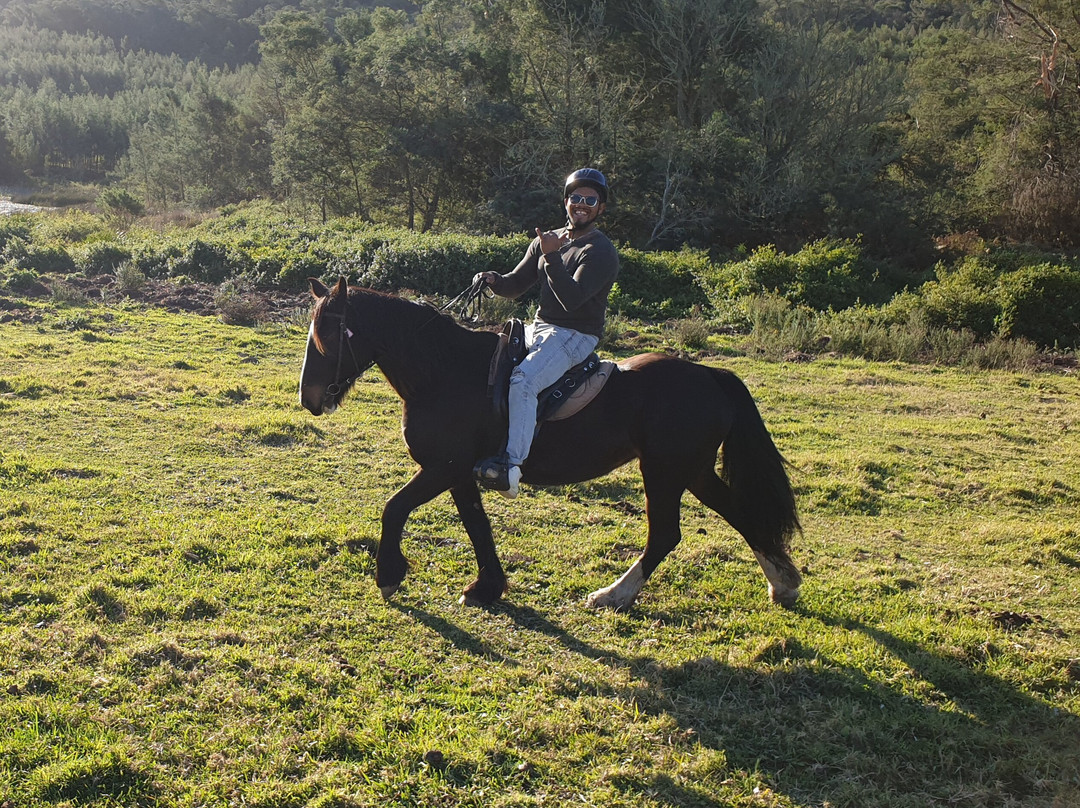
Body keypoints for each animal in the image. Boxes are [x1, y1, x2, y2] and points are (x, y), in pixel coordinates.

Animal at [298, 277, 802, 610]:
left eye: (327, 338)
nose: (309, 398)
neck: (445, 372)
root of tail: (711, 376)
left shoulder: (443, 467)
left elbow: (394, 508)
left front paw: (388, 575)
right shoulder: (459, 472)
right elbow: (476, 525)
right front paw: (487, 587)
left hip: (664, 472)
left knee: (665, 534)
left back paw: (614, 594)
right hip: (691, 471)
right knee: (739, 513)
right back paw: (783, 582)